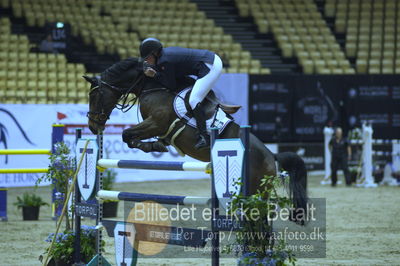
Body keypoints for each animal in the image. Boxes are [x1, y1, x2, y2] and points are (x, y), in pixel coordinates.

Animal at [86, 57, 308, 223]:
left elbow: (127, 135)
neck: (153, 86)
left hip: (254, 190)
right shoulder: (157, 127)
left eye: (95, 96)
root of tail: (272, 155)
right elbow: (131, 136)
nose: (93, 127)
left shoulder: (156, 123)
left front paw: (149, 145)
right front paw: (156, 145)